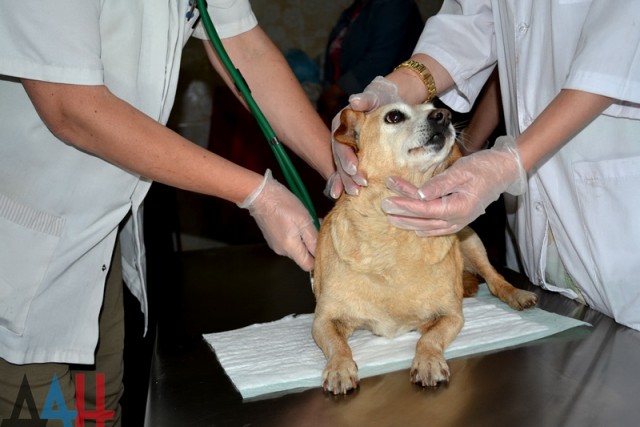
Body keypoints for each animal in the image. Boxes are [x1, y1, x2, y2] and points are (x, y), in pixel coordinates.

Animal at [312, 102, 536, 396]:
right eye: (394, 116)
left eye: (435, 107)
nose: (445, 115)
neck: (394, 235)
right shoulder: (323, 321)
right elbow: (338, 346)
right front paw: (339, 367)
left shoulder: (451, 316)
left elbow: (428, 339)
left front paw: (428, 361)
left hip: (471, 241)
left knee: (495, 280)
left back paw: (517, 294)